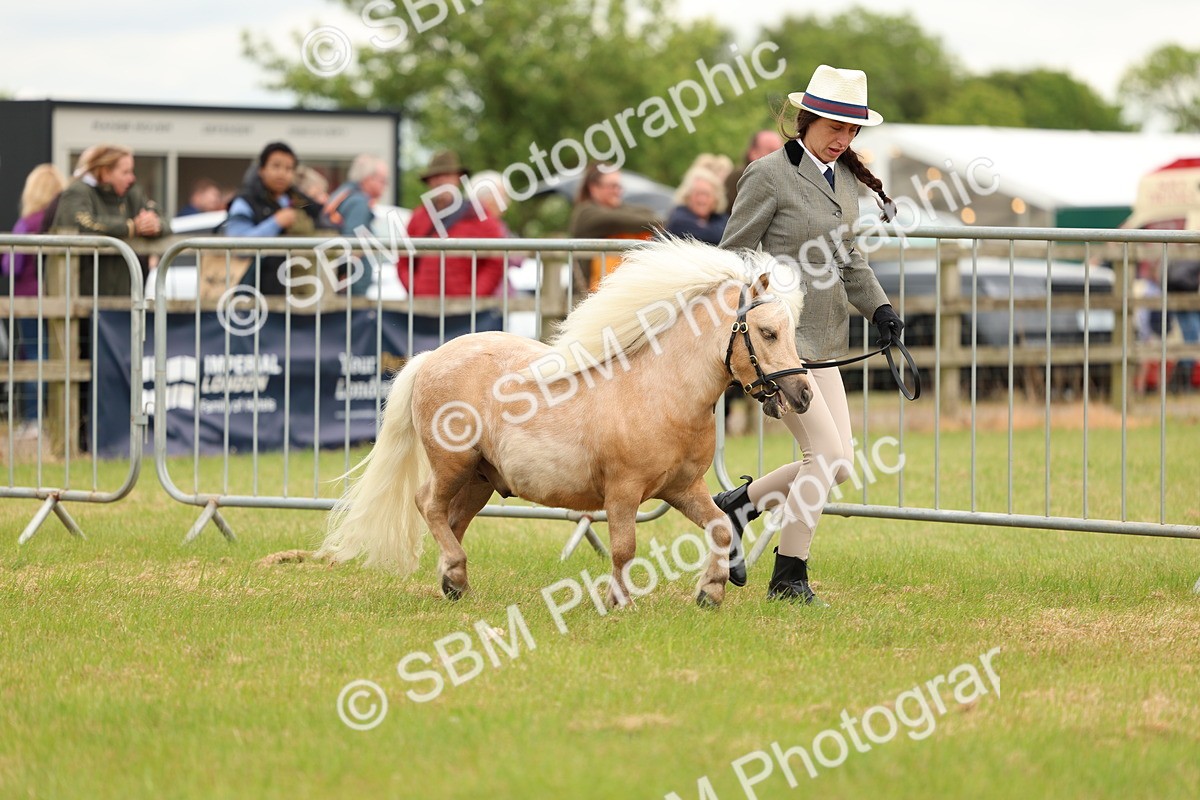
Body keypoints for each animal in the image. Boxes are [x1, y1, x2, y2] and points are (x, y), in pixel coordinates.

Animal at [316, 238, 813, 608]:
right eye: (767, 333)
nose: (803, 395)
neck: (662, 391)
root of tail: (430, 358)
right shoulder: (622, 492)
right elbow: (624, 548)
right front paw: (619, 602)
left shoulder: (682, 488)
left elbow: (720, 526)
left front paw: (710, 592)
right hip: (452, 466)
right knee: (429, 506)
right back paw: (454, 574)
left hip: (479, 480)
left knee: (452, 521)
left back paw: (454, 583)